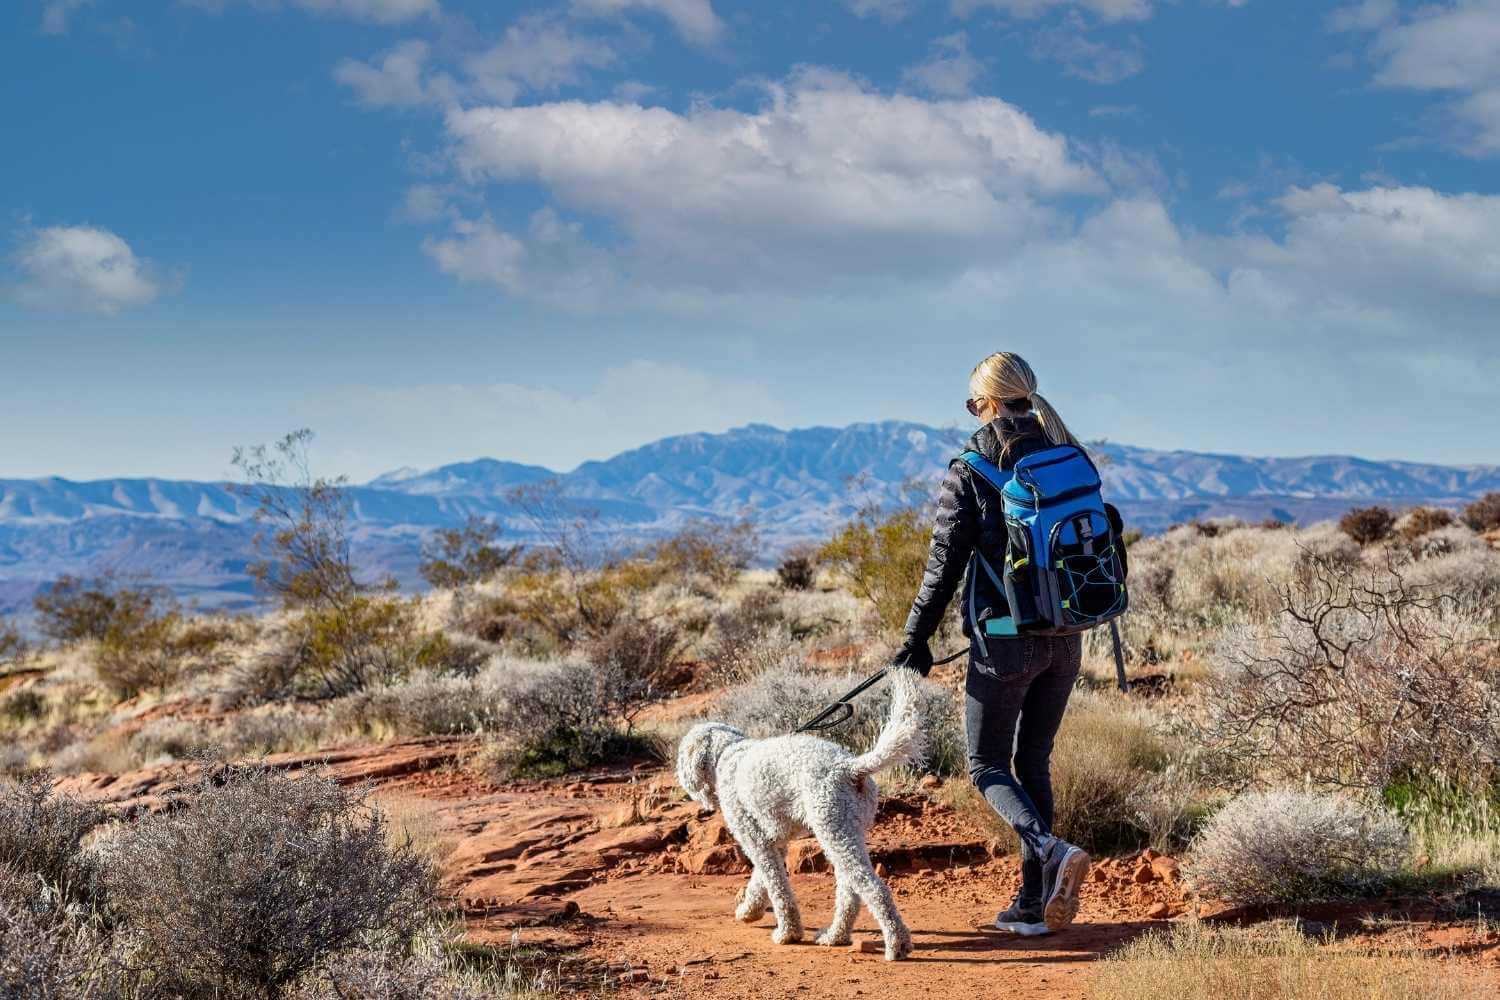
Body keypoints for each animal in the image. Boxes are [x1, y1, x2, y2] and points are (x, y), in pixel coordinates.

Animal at [672, 668, 924, 959]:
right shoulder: (772, 842)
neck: (727, 754)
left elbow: (777, 887)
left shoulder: (754, 840)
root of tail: (850, 768)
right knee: (850, 892)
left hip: (832, 828)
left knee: (874, 889)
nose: (681, 778)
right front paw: (748, 911)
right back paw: (835, 936)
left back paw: (896, 944)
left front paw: (787, 933)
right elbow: (761, 880)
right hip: (847, 830)